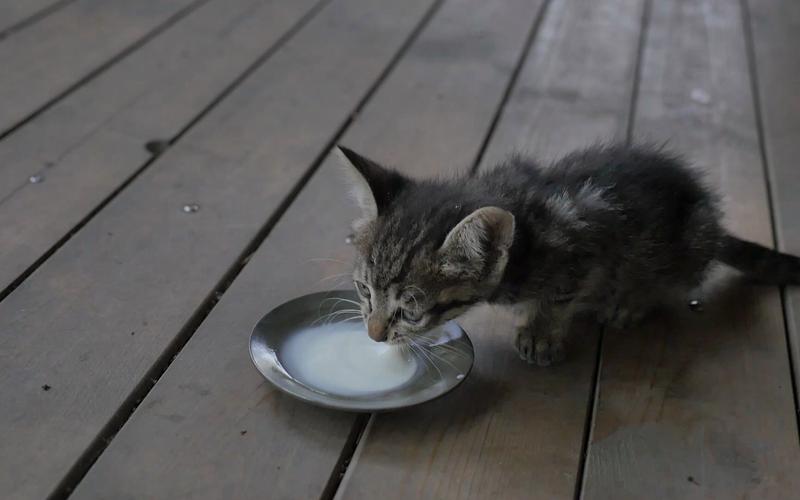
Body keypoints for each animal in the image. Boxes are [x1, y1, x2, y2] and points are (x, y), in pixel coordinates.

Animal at [336, 143, 800, 366]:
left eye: (410, 311)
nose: (373, 335)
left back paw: (631, 301)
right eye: (364, 290)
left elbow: (560, 296)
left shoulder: (583, 248)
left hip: (688, 243)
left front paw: (541, 332)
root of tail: (712, 221)